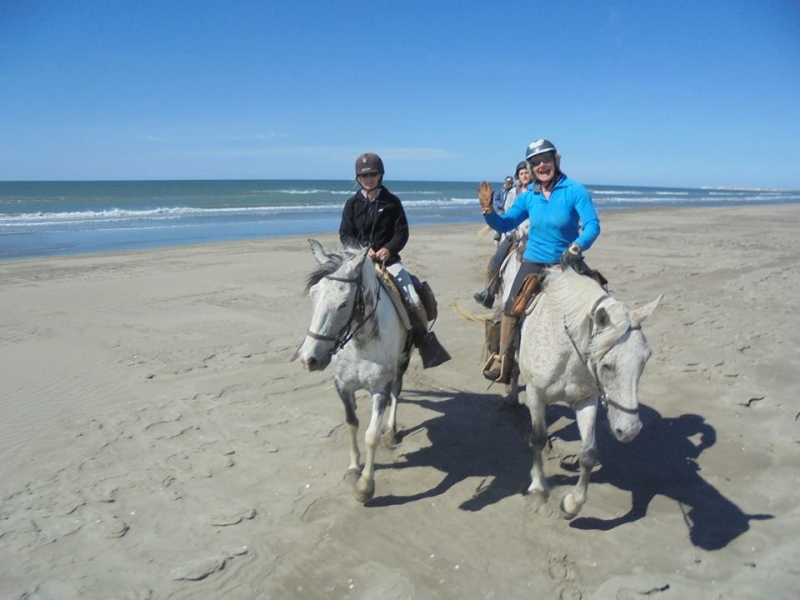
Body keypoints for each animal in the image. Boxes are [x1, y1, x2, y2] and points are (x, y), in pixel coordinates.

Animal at [290, 239, 410, 502]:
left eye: (344, 303)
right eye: (313, 295)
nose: (308, 359)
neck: (360, 343)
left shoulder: (379, 389)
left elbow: (371, 435)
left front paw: (365, 486)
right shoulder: (343, 386)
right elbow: (352, 423)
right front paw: (354, 468)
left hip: (402, 361)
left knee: (397, 392)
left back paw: (391, 431)